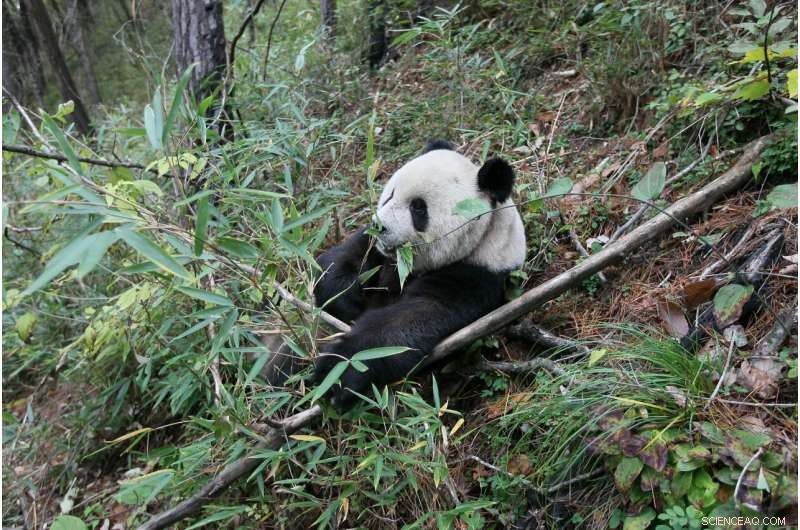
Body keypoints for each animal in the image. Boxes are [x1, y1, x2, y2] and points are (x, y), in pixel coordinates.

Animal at [313, 140, 527, 409]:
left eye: (418, 208)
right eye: (390, 194)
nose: (380, 226)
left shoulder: (475, 275)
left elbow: (414, 317)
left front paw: (342, 367)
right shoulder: (379, 252)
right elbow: (349, 254)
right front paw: (342, 299)